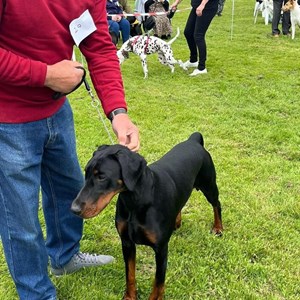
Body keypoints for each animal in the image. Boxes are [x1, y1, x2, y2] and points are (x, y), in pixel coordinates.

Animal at [71, 133, 223, 300]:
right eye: (86, 172)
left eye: (102, 177)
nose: (74, 209)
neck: (135, 201)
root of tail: (193, 140)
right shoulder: (127, 242)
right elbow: (130, 274)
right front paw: (130, 297)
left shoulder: (161, 249)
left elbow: (158, 282)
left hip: (209, 186)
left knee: (217, 204)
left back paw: (218, 228)